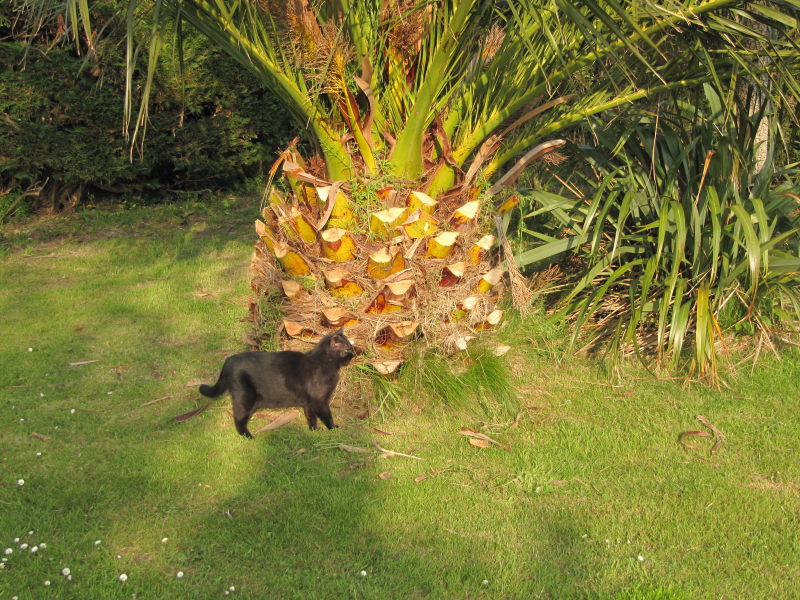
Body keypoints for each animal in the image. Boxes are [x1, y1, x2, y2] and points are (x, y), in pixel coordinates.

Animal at [198, 330, 354, 438]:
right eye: (347, 349)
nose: (355, 352)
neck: (324, 362)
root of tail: (228, 361)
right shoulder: (319, 401)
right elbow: (327, 417)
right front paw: (334, 429)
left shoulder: (309, 402)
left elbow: (311, 417)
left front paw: (314, 430)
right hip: (244, 399)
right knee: (238, 419)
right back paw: (248, 437)